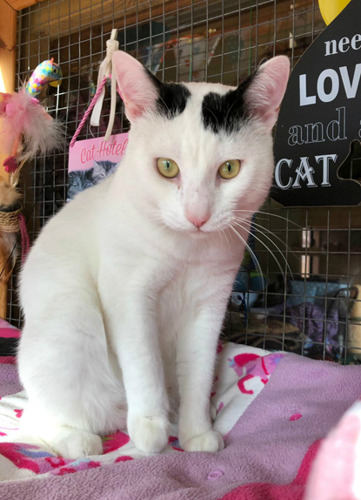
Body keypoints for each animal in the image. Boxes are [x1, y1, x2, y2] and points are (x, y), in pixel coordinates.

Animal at [17, 49, 290, 458]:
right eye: (166, 167)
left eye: (229, 169)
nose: (197, 215)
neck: (186, 252)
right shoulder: (128, 294)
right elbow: (144, 362)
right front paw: (150, 429)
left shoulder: (210, 304)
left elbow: (198, 370)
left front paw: (196, 433)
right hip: (71, 318)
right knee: (36, 417)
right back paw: (80, 439)